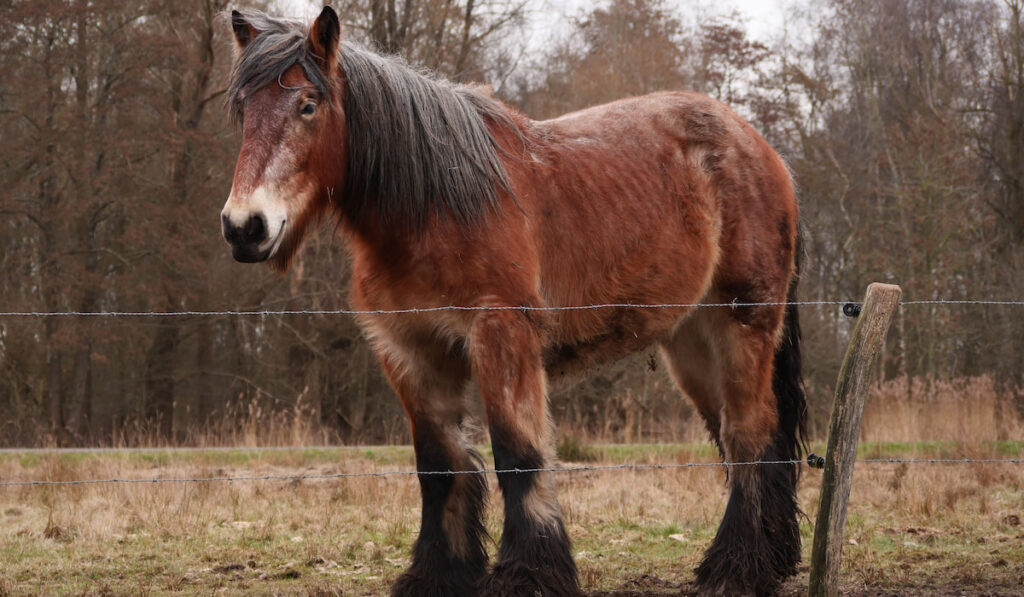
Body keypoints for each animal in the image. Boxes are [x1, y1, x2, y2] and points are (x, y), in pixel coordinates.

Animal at [220, 5, 802, 597]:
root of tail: (761, 148)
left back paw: (737, 568)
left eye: (307, 105)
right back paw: (768, 560)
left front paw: (530, 574)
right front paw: (438, 574)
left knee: (748, 433)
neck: (433, 207)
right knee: (744, 435)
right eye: (243, 109)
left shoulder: (501, 333)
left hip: (742, 323)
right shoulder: (410, 351)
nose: (245, 227)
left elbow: (517, 455)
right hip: (691, 342)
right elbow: (439, 466)